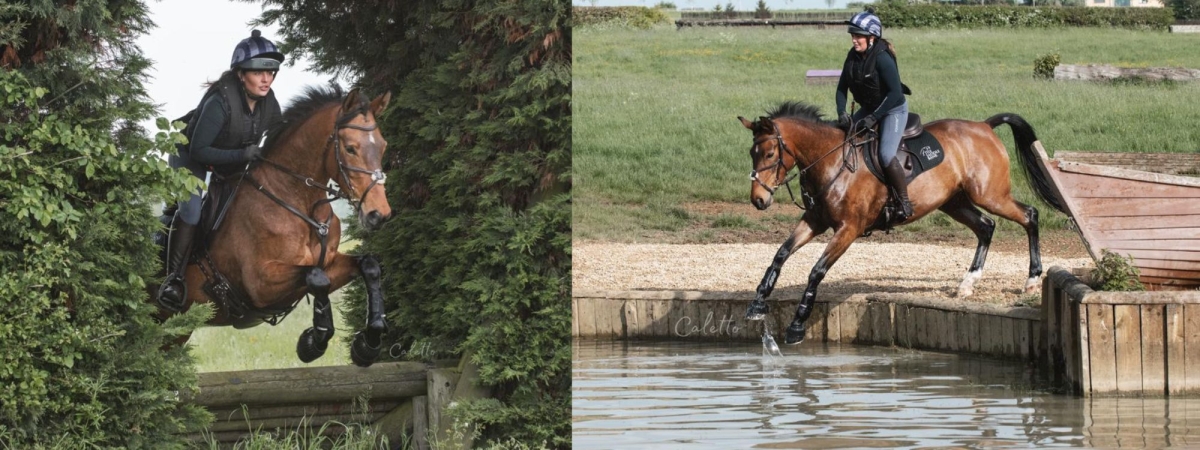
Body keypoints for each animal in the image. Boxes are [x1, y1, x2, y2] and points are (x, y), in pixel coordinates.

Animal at [158, 86, 393, 367]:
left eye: (383, 146)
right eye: (350, 149)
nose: (379, 215)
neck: (299, 202)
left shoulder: (329, 263)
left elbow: (369, 266)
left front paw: (367, 344)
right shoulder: (261, 285)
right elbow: (317, 278)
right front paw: (314, 341)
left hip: (177, 330)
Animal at [734, 102, 1065, 348]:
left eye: (770, 153)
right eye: (752, 153)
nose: (759, 200)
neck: (831, 162)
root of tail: (984, 126)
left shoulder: (849, 229)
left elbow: (817, 270)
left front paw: (797, 324)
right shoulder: (814, 221)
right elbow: (780, 254)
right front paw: (757, 304)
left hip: (989, 194)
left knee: (1030, 216)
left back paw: (1032, 278)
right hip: (954, 201)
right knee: (986, 226)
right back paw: (968, 283)